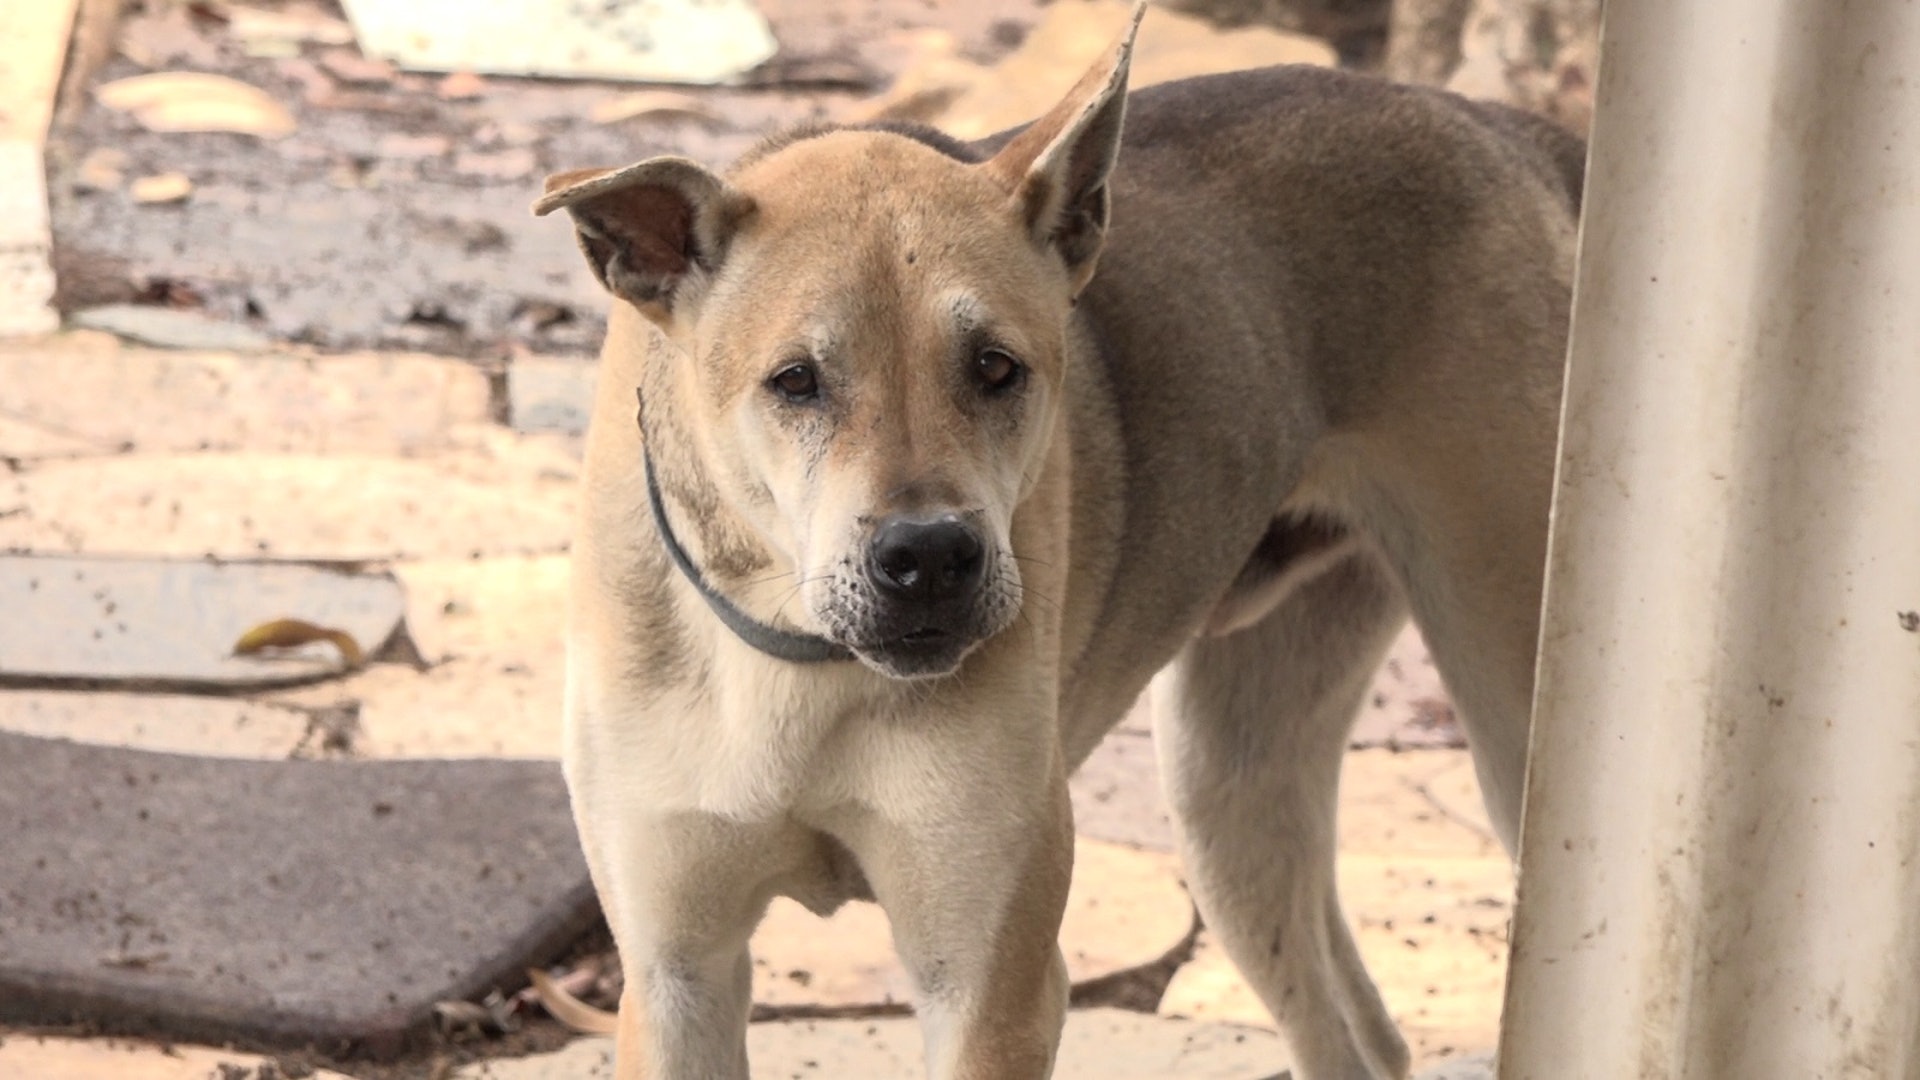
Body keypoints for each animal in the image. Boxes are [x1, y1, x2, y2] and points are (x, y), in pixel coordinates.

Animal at [537, 6, 1574, 1068]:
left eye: (996, 366)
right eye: (795, 380)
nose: (930, 557)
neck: (799, 658)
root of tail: (1486, 123)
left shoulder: (988, 983)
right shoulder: (676, 974)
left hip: (1510, 719)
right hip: (1230, 792)